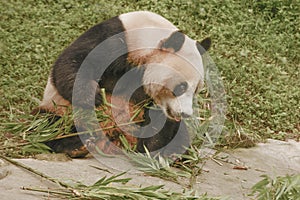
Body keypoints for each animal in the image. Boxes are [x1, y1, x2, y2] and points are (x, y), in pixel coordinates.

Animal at [32, 10, 211, 159]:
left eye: (196, 90)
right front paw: (95, 97)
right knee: (47, 124)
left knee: (180, 137)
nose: (185, 113)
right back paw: (74, 146)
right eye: (182, 87)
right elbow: (74, 62)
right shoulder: (114, 39)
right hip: (60, 109)